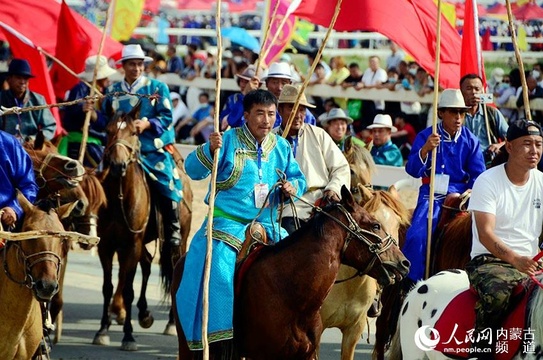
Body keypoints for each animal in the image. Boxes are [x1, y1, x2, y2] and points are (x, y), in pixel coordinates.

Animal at [94, 102, 193, 350]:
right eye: (108, 131)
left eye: (133, 132)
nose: (117, 165)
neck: (120, 197)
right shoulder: (106, 246)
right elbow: (108, 287)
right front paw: (102, 330)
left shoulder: (130, 244)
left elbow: (128, 289)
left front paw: (128, 336)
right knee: (147, 264)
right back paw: (144, 313)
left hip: (177, 241)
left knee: (174, 269)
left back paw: (170, 323)